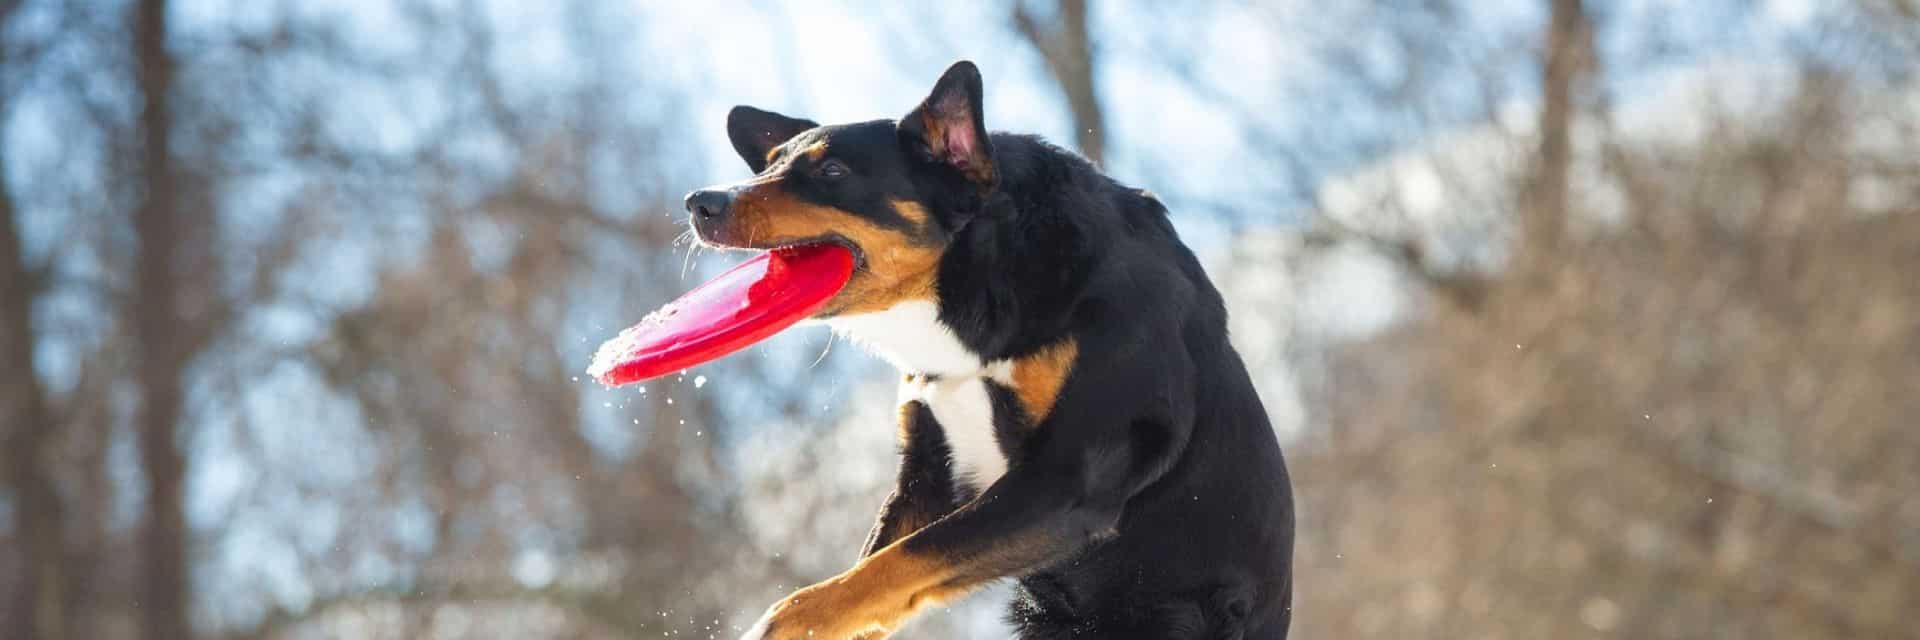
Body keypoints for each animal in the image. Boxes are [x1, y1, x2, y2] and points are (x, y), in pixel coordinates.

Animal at [683, 61, 1297, 638]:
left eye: (832, 171)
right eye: (769, 165)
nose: (700, 201)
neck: (986, 290)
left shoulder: (1069, 476)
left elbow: (887, 568)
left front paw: (777, 622)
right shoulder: (930, 469)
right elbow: (875, 571)